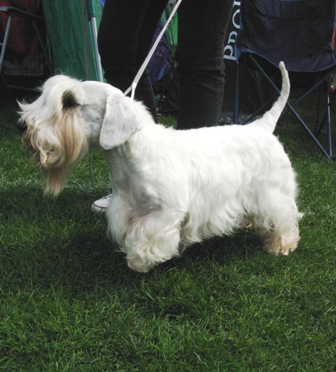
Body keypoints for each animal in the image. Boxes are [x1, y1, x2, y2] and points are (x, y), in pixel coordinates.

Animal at [17, 62, 302, 274]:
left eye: (70, 102)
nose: (22, 126)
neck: (130, 157)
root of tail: (262, 126)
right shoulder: (124, 206)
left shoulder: (168, 211)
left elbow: (144, 236)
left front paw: (139, 260)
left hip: (274, 193)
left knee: (285, 216)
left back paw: (281, 245)